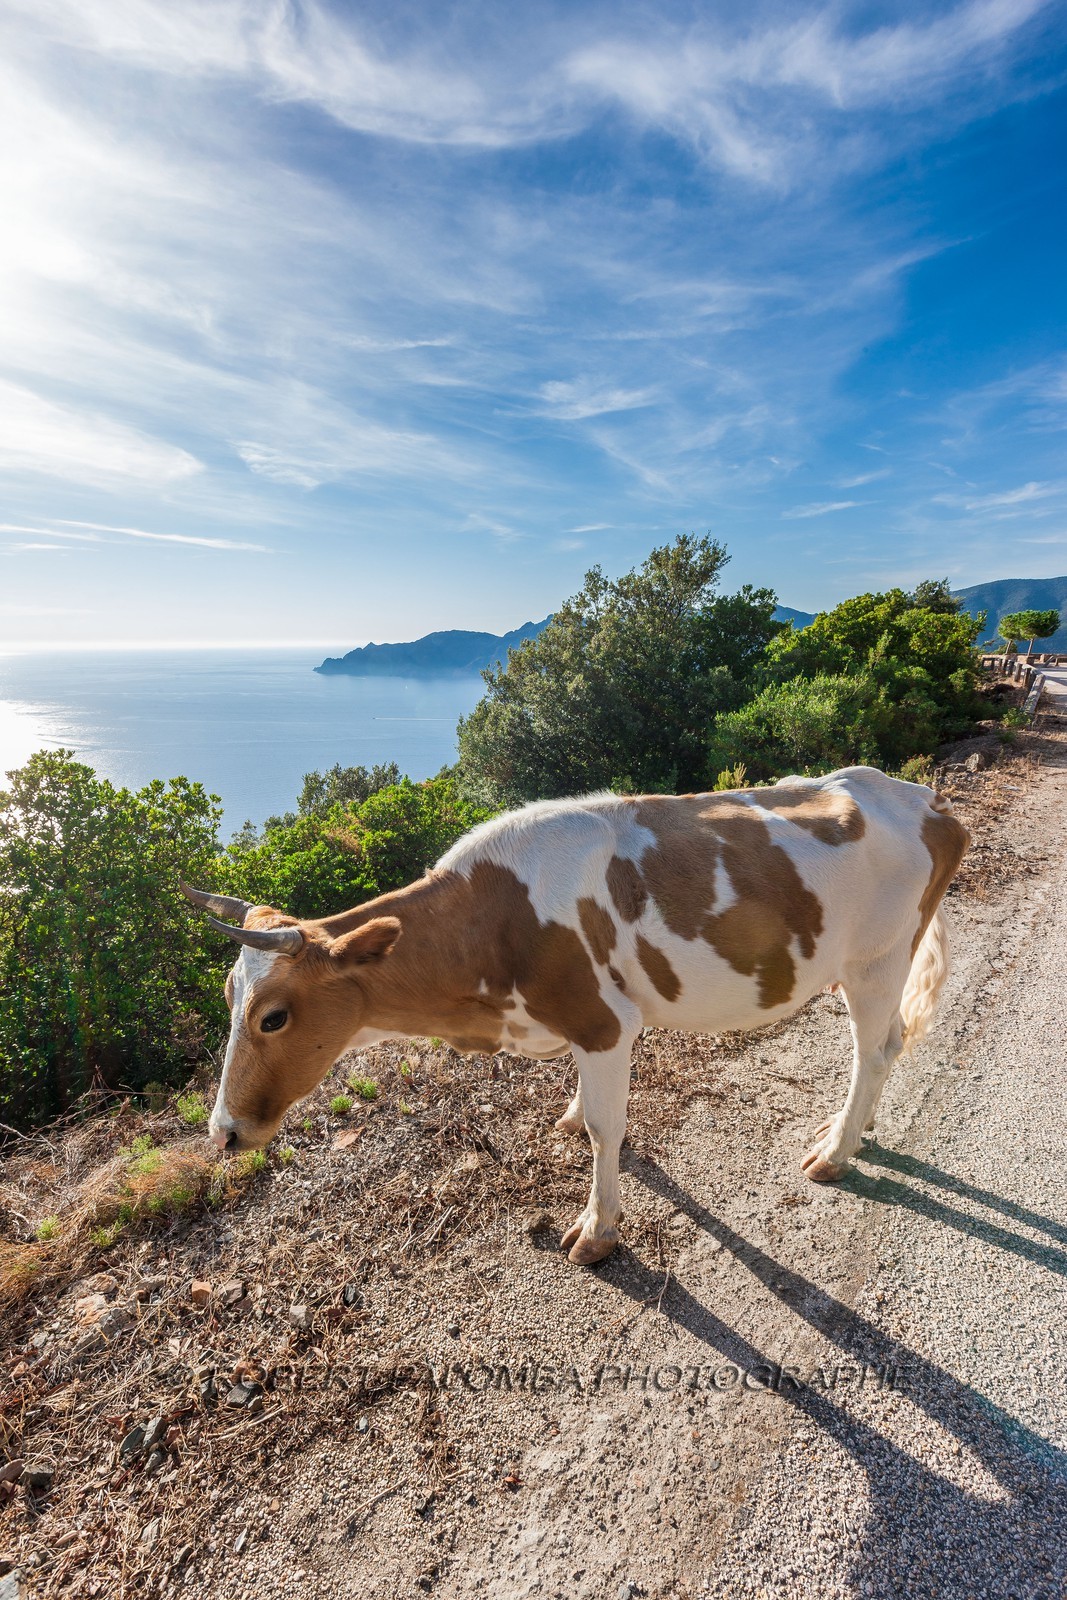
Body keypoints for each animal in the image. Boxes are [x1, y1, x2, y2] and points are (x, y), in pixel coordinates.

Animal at [181, 766, 968, 1266]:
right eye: (227, 997)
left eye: (273, 1018)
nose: (222, 1133)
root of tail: (916, 796)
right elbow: (585, 1113)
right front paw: (565, 1116)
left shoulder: (603, 1022)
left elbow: (604, 1128)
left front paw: (598, 1228)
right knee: (887, 1043)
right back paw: (854, 1131)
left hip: (875, 960)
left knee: (876, 1048)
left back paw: (835, 1151)